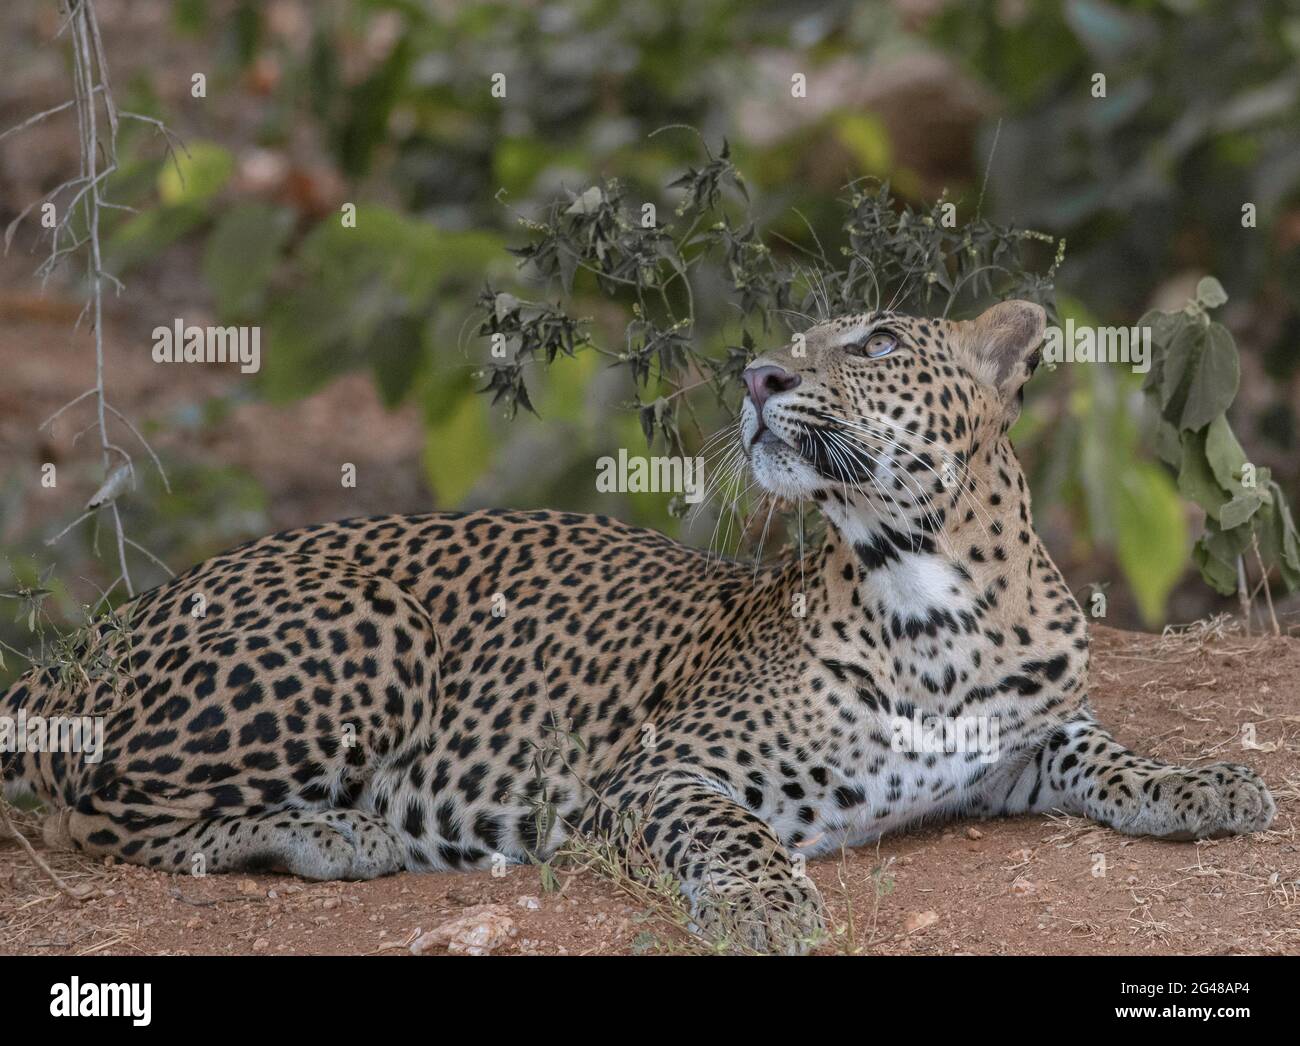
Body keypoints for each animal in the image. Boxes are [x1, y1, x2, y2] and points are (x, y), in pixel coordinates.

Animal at [1, 300, 1275, 952]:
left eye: (872, 343)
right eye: (794, 342)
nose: (759, 375)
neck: (932, 594)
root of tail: (105, 636)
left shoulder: (1029, 738)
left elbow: (1113, 754)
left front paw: (1208, 782)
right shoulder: (662, 770)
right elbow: (733, 829)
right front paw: (767, 901)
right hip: (366, 627)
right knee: (97, 809)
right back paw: (330, 832)